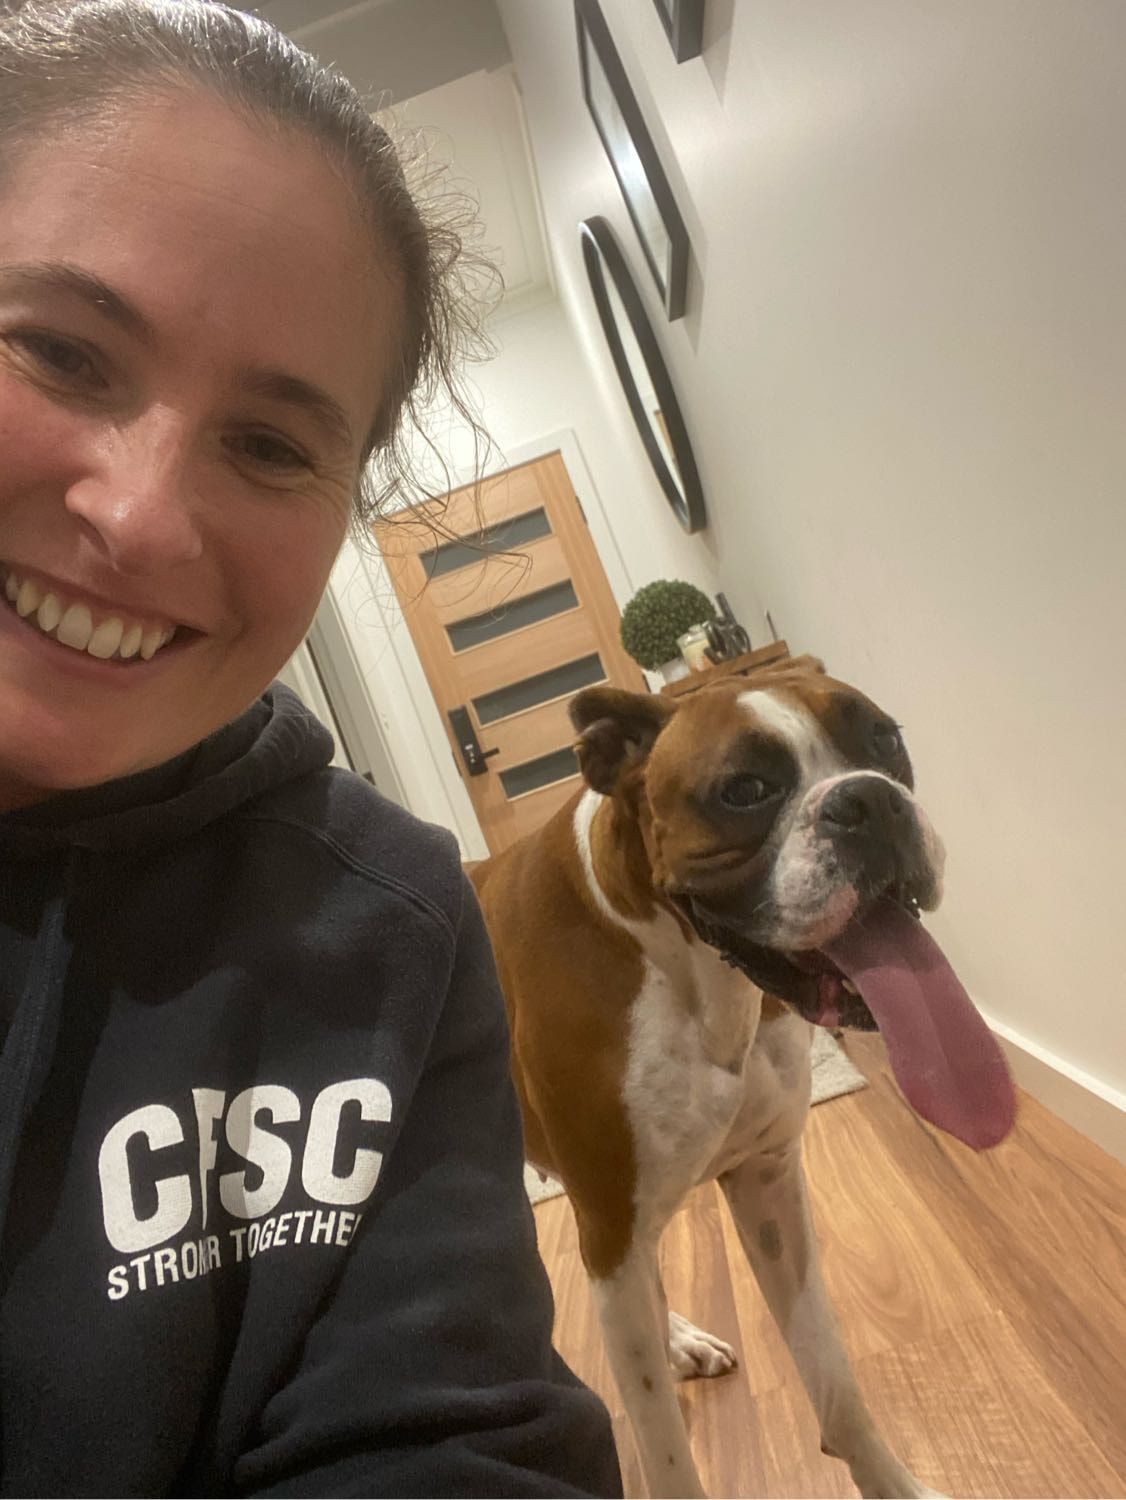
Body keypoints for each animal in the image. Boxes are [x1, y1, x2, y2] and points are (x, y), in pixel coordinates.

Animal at [471, 657, 1015, 1498]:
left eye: (884, 740)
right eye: (745, 790)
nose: (870, 801)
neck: (691, 970)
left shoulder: (767, 1185)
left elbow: (834, 1378)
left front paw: (893, 1482)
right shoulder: (613, 1222)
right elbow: (665, 1449)